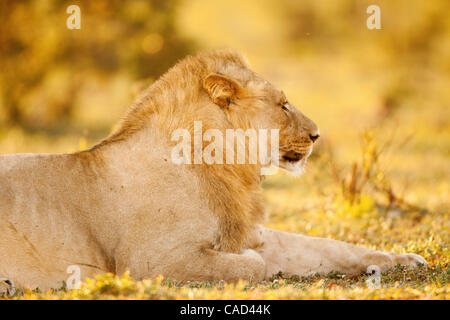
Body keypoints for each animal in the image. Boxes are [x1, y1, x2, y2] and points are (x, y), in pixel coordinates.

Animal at [0, 49, 426, 290]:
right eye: (283, 105)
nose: (317, 135)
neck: (228, 169)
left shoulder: (249, 232)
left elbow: (330, 246)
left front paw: (407, 260)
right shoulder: (149, 262)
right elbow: (253, 265)